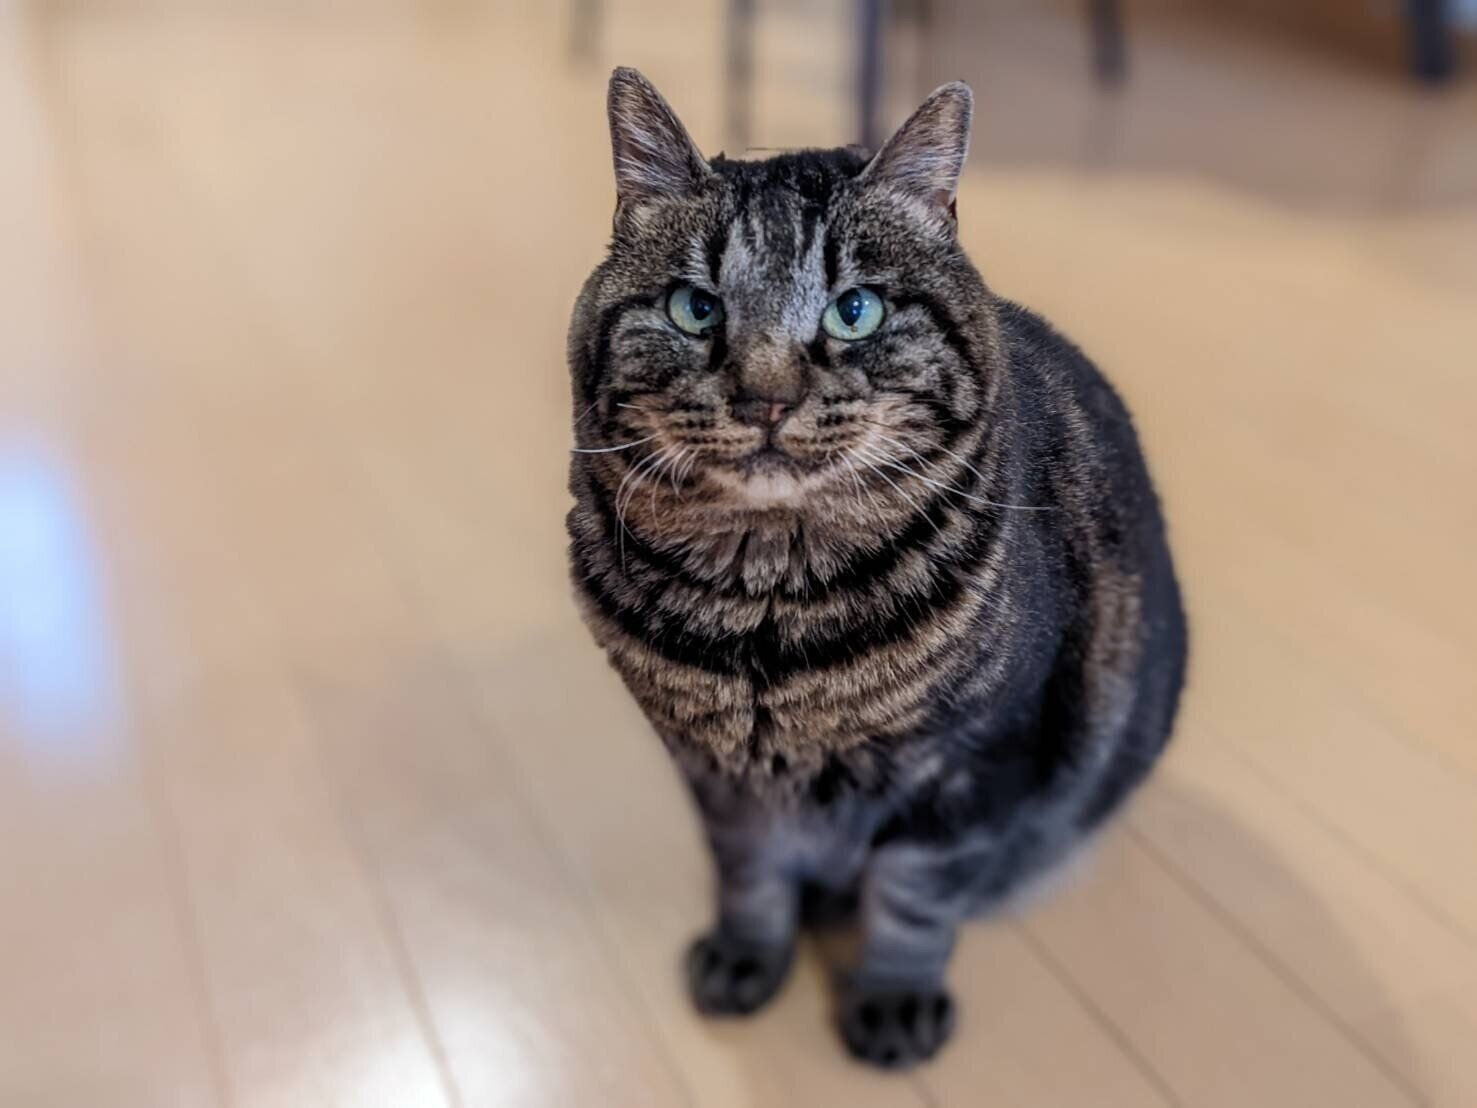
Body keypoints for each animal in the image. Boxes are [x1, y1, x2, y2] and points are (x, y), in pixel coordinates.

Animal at [566, 68, 1187, 1069]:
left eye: (853, 311)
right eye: (695, 308)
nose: (765, 398)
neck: (768, 621)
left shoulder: (977, 761)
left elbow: (912, 900)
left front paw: (892, 1006)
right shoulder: (713, 775)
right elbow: (748, 872)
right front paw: (745, 957)